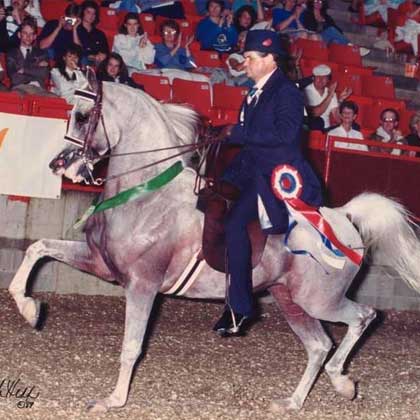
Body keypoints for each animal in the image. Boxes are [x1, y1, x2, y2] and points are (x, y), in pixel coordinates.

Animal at [8, 81, 420, 414]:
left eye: (81, 116)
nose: (59, 165)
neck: (146, 194)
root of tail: (343, 217)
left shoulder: (142, 285)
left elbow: (132, 345)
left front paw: (113, 400)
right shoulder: (100, 263)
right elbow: (38, 248)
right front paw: (29, 309)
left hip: (320, 300)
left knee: (363, 317)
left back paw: (343, 382)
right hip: (290, 300)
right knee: (319, 345)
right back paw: (291, 402)